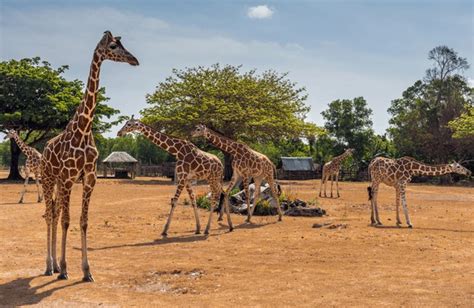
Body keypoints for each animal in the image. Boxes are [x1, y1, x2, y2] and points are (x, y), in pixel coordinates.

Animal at [41, 31, 139, 282]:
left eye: (122, 44)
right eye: (113, 46)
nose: (134, 60)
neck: (84, 129)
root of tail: (44, 149)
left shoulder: (88, 178)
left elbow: (83, 222)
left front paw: (86, 271)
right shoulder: (68, 178)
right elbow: (66, 221)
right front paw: (66, 269)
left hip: (58, 182)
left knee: (55, 211)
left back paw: (55, 265)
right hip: (48, 179)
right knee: (50, 214)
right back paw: (50, 266)